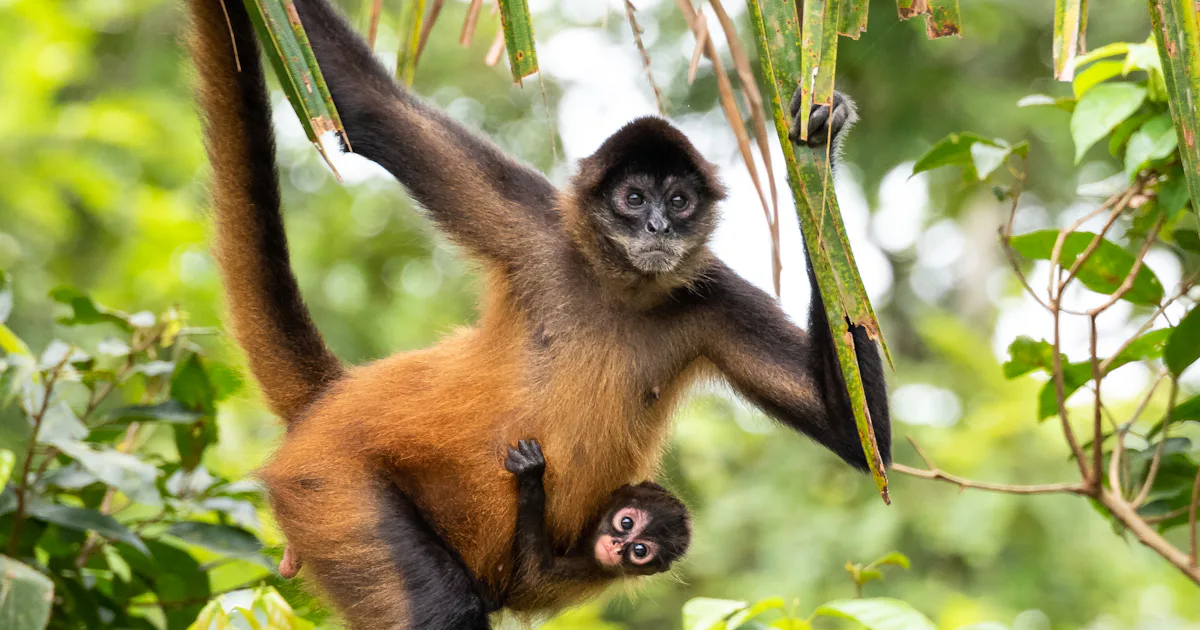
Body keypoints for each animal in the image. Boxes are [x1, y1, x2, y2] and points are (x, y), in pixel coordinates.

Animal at [185, 0, 888, 626]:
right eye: (634, 198)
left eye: (680, 201)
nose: (659, 227)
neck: (618, 289)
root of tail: (333, 399)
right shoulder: (540, 228)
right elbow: (365, 103)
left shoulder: (714, 296)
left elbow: (858, 437)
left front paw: (822, 143)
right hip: (332, 486)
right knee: (439, 605)